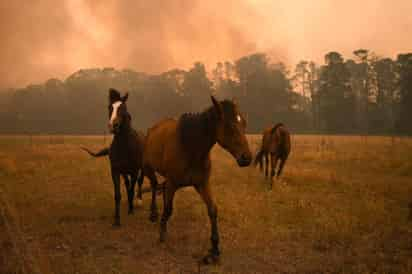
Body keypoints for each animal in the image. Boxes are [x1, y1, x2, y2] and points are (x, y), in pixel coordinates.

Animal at [81, 88, 145, 227]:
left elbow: (132, 188)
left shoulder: (134, 171)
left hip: (141, 169)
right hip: (124, 172)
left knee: (139, 182)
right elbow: (118, 194)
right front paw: (116, 220)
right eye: (109, 107)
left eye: (123, 108)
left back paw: (138, 201)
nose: (113, 125)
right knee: (127, 184)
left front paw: (131, 209)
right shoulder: (115, 171)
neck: (124, 146)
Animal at [143, 96, 253, 264]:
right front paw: (162, 234)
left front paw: (214, 249)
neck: (190, 148)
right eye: (228, 126)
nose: (246, 158)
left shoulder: (202, 184)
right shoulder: (172, 183)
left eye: (244, 123)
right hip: (148, 168)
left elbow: (212, 210)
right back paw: (153, 213)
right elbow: (168, 209)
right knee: (154, 186)